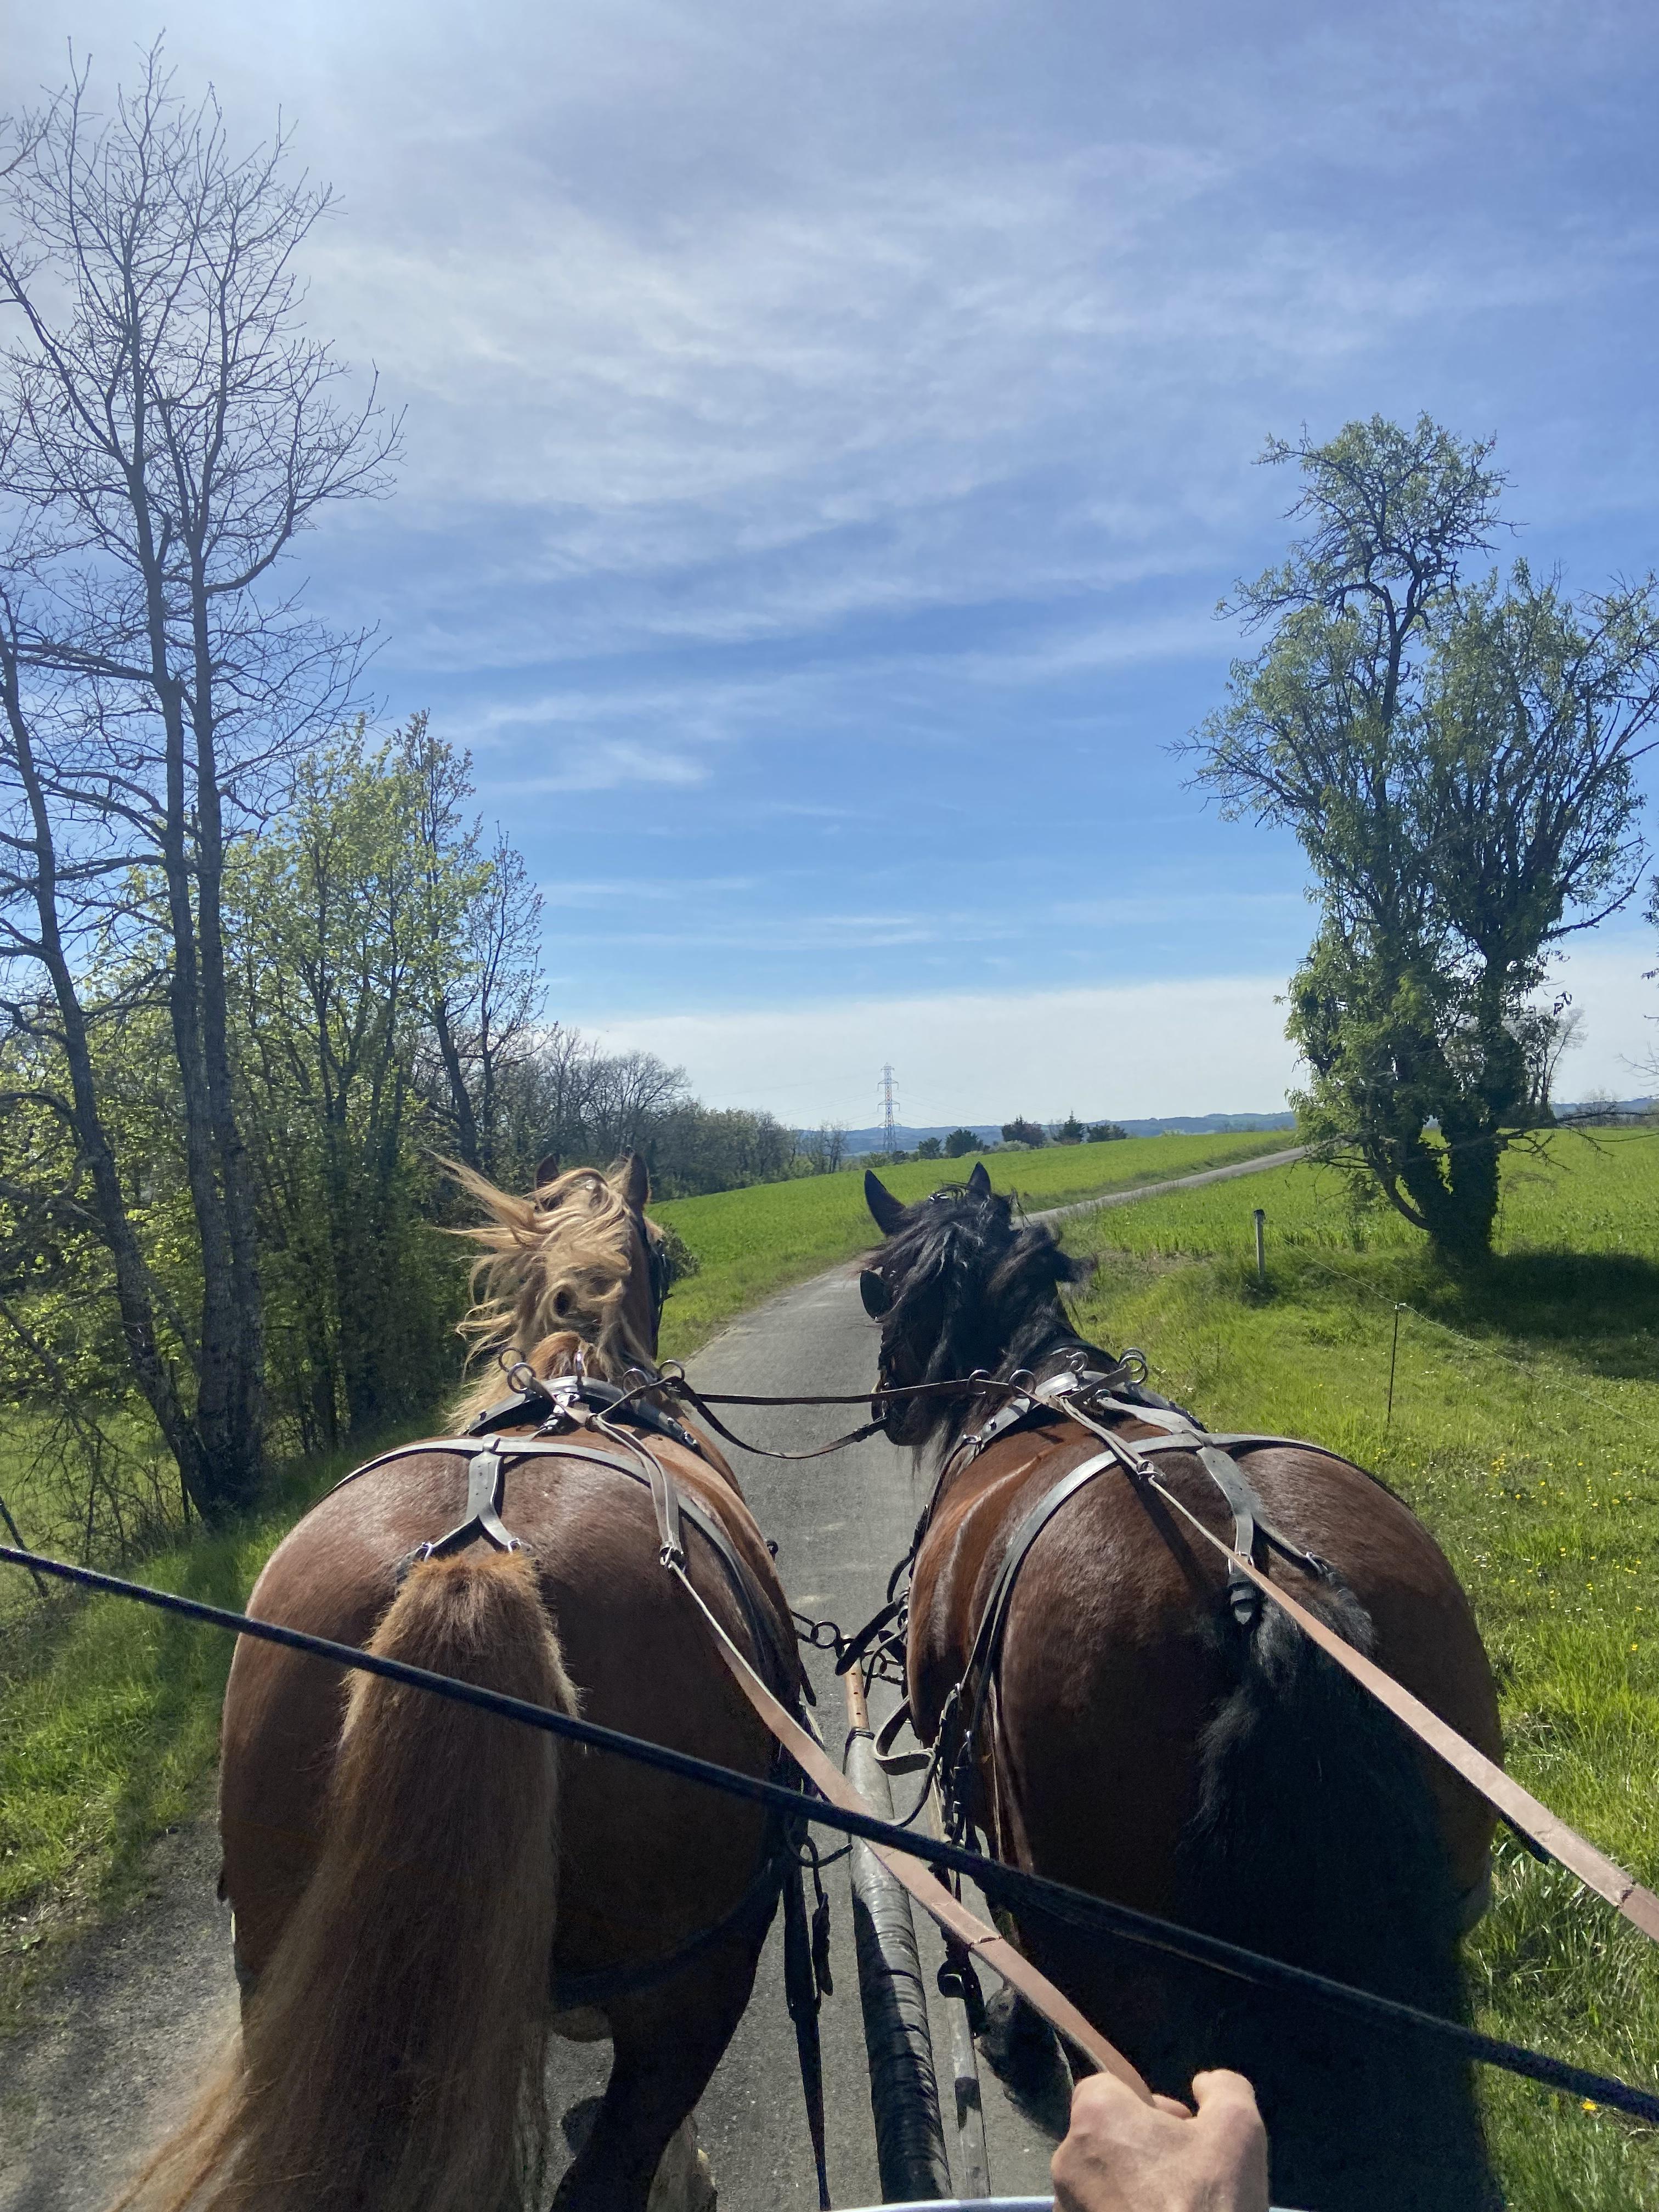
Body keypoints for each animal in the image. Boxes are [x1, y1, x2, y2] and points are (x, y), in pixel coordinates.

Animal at [862, 1167, 1513, 2203]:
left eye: (878, 1283)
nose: (890, 1397)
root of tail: (1267, 1589)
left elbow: (991, 1916)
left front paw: (1007, 2032)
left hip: (1105, 1961)